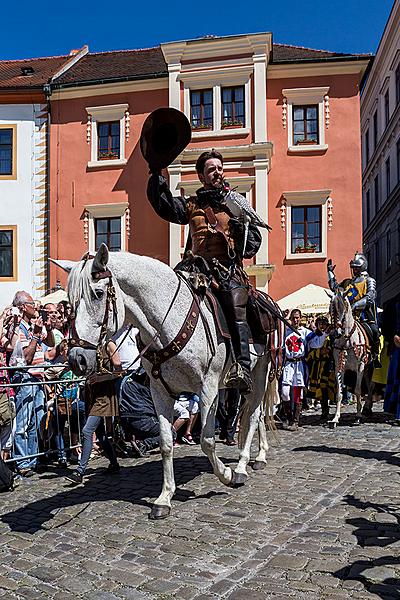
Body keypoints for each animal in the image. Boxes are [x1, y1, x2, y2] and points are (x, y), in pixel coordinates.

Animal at [52, 246, 278, 516]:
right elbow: (166, 441)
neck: (166, 322)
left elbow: (207, 440)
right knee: (256, 414)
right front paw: (164, 497)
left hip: (260, 372)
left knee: (254, 415)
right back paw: (258, 456)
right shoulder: (160, 391)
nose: (77, 358)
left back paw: (243, 465)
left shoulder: (208, 389)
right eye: (70, 300)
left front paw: (226, 474)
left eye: (98, 294)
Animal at [330, 290, 374, 426]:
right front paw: (335, 418)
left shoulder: (360, 366)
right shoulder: (339, 368)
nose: (336, 333)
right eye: (331, 308)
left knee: (369, 386)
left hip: (369, 367)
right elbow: (339, 393)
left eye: (344, 307)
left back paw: (367, 408)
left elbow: (358, 390)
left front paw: (358, 416)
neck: (347, 340)